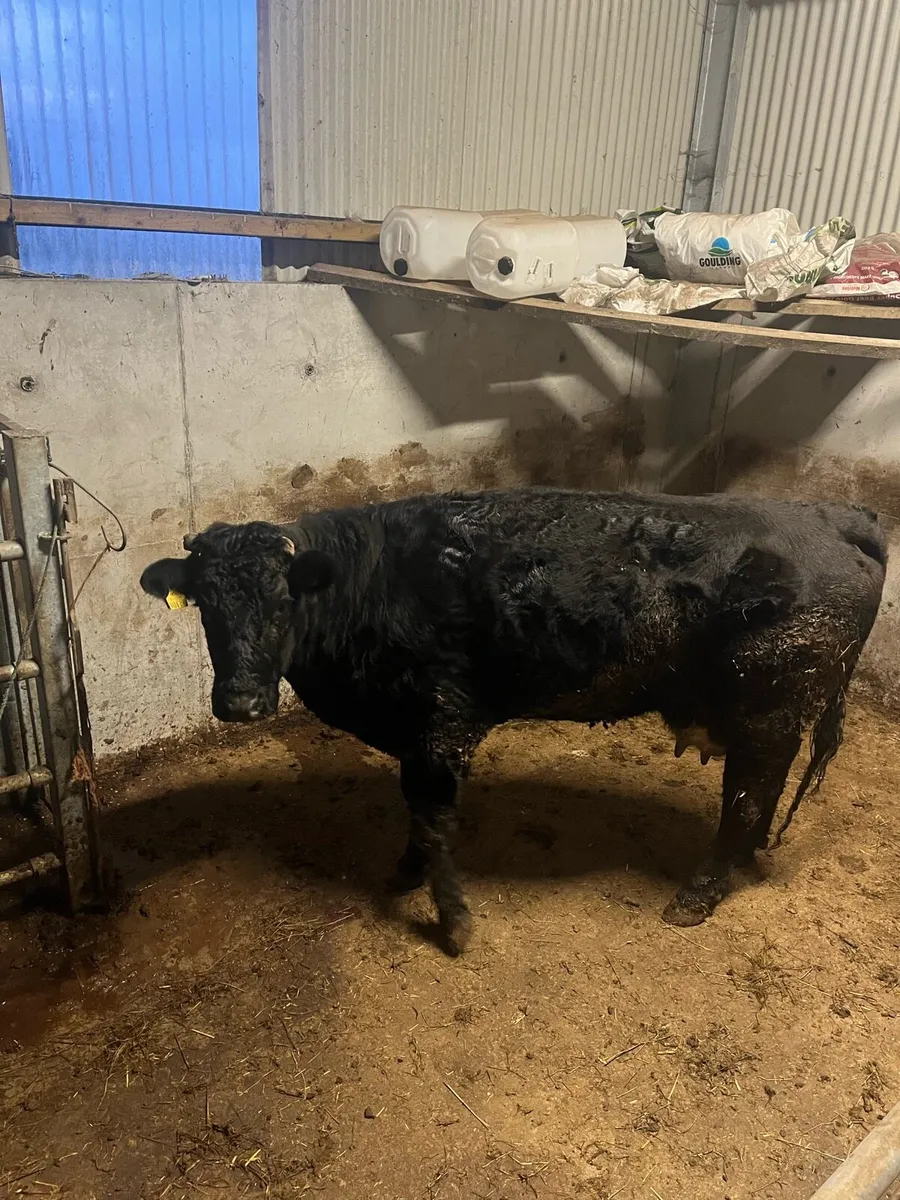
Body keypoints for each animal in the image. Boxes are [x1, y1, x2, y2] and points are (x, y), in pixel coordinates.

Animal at [141, 489, 886, 956]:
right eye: (204, 604)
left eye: (281, 601)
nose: (240, 702)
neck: (372, 582)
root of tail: (832, 515)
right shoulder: (415, 734)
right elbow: (417, 819)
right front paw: (405, 874)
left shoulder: (443, 726)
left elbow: (434, 821)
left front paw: (453, 922)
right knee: (760, 797)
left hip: (768, 712)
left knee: (748, 798)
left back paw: (698, 893)